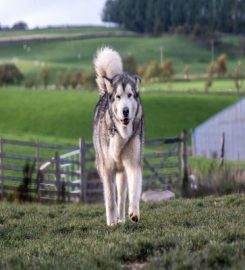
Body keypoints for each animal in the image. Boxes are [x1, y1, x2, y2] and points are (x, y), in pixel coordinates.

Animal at [93, 47, 144, 226]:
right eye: (118, 97)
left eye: (130, 95)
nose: (125, 111)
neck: (121, 132)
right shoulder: (107, 169)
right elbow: (110, 199)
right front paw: (111, 223)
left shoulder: (133, 164)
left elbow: (134, 192)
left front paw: (134, 213)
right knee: (115, 198)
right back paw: (115, 220)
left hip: (122, 173)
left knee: (122, 197)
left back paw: (122, 219)